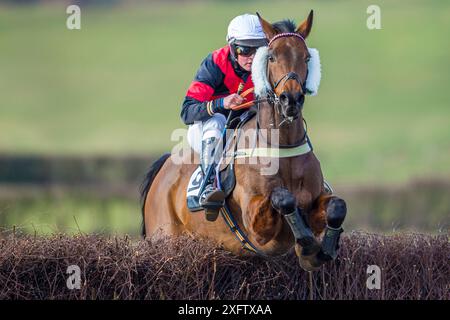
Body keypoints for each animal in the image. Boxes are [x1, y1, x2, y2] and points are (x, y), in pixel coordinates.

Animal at [142, 11, 346, 270]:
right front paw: (308, 246)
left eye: (306, 57)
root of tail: (163, 170)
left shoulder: (316, 201)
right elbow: (283, 197)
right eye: (271, 56)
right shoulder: (256, 222)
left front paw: (322, 250)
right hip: (165, 237)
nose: (290, 99)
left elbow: (337, 206)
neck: (281, 144)